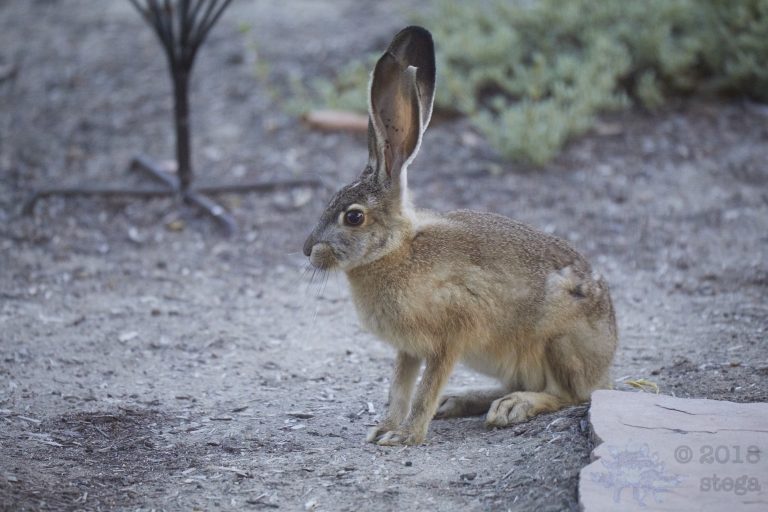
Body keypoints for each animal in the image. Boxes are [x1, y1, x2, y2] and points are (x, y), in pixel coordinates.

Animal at [302, 26, 617, 446]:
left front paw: (406, 436)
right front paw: (384, 428)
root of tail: (608, 354)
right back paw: (461, 401)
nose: (308, 250)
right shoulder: (408, 348)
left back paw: (512, 407)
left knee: (570, 393)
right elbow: (399, 386)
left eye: (353, 217)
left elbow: (424, 389)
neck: (397, 251)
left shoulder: (449, 337)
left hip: (558, 343)